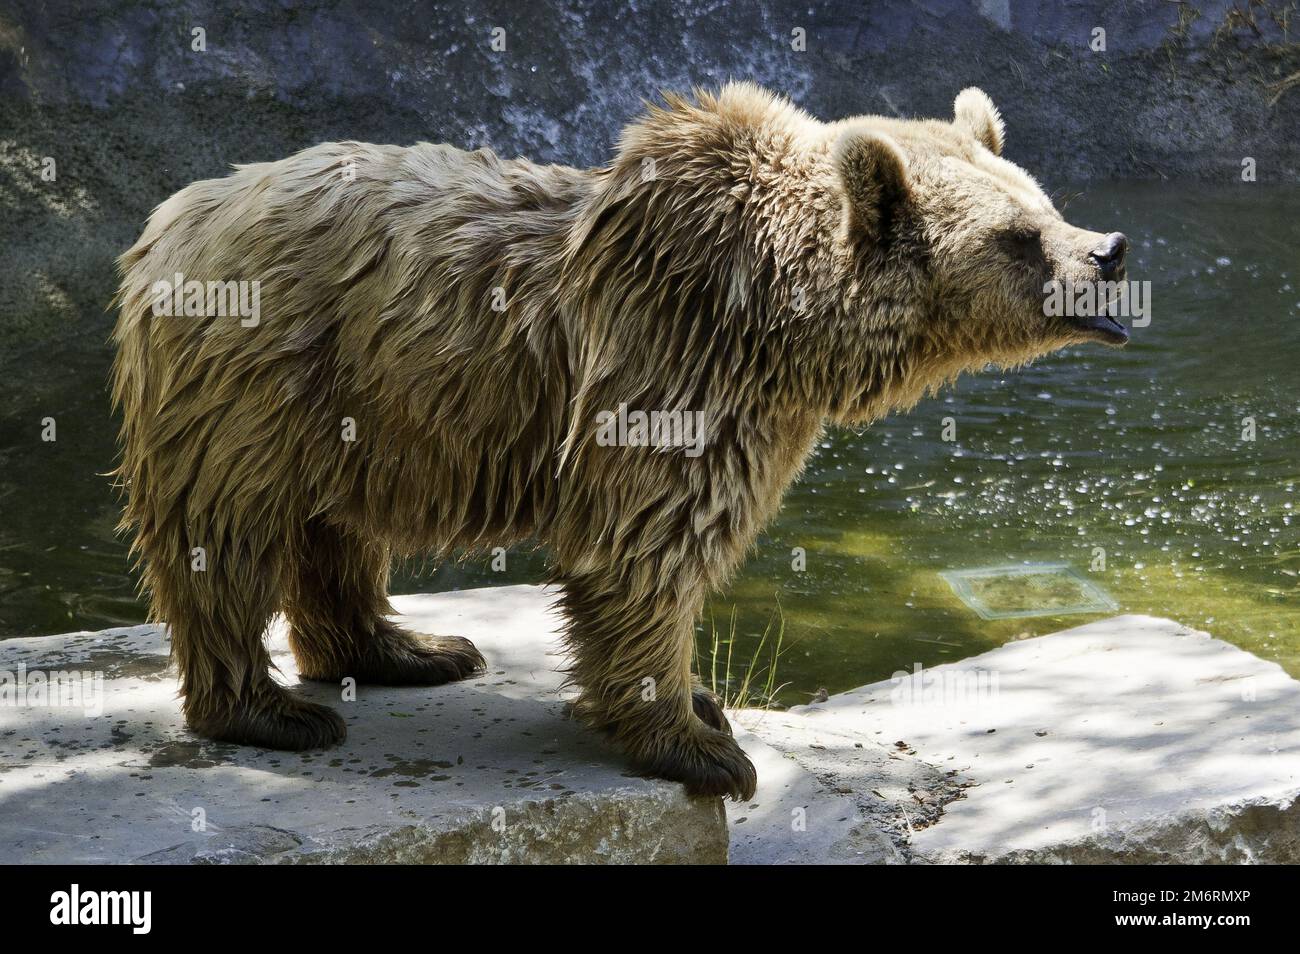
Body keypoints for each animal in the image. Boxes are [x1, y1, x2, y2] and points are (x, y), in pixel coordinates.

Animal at [114, 82, 1128, 805]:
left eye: (1044, 201)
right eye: (1019, 236)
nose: (1109, 249)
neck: (778, 323)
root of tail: (172, 216)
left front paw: (699, 707)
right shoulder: (667, 366)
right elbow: (648, 549)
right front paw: (703, 746)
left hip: (358, 407)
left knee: (336, 531)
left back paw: (412, 649)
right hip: (260, 380)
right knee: (225, 535)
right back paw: (272, 710)